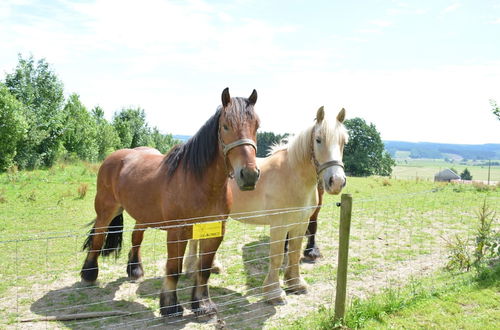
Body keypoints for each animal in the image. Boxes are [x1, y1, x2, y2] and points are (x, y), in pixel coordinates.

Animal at [79, 87, 260, 318]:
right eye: (226, 126)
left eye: (257, 126)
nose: (249, 175)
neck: (199, 182)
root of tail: (115, 157)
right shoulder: (177, 232)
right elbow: (174, 268)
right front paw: (170, 306)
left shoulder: (214, 230)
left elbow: (204, 269)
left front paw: (202, 304)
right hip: (106, 210)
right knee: (98, 238)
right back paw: (89, 274)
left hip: (142, 215)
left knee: (136, 238)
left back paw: (135, 270)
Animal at [187, 107, 348, 306]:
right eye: (318, 139)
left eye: (343, 142)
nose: (336, 182)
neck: (291, 175)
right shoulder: (279, 225)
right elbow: (277, 256)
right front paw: (274, 293)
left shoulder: (300, 223)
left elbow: (294, 253)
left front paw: (296, 283)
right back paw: (192, 269)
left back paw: (212, 266)